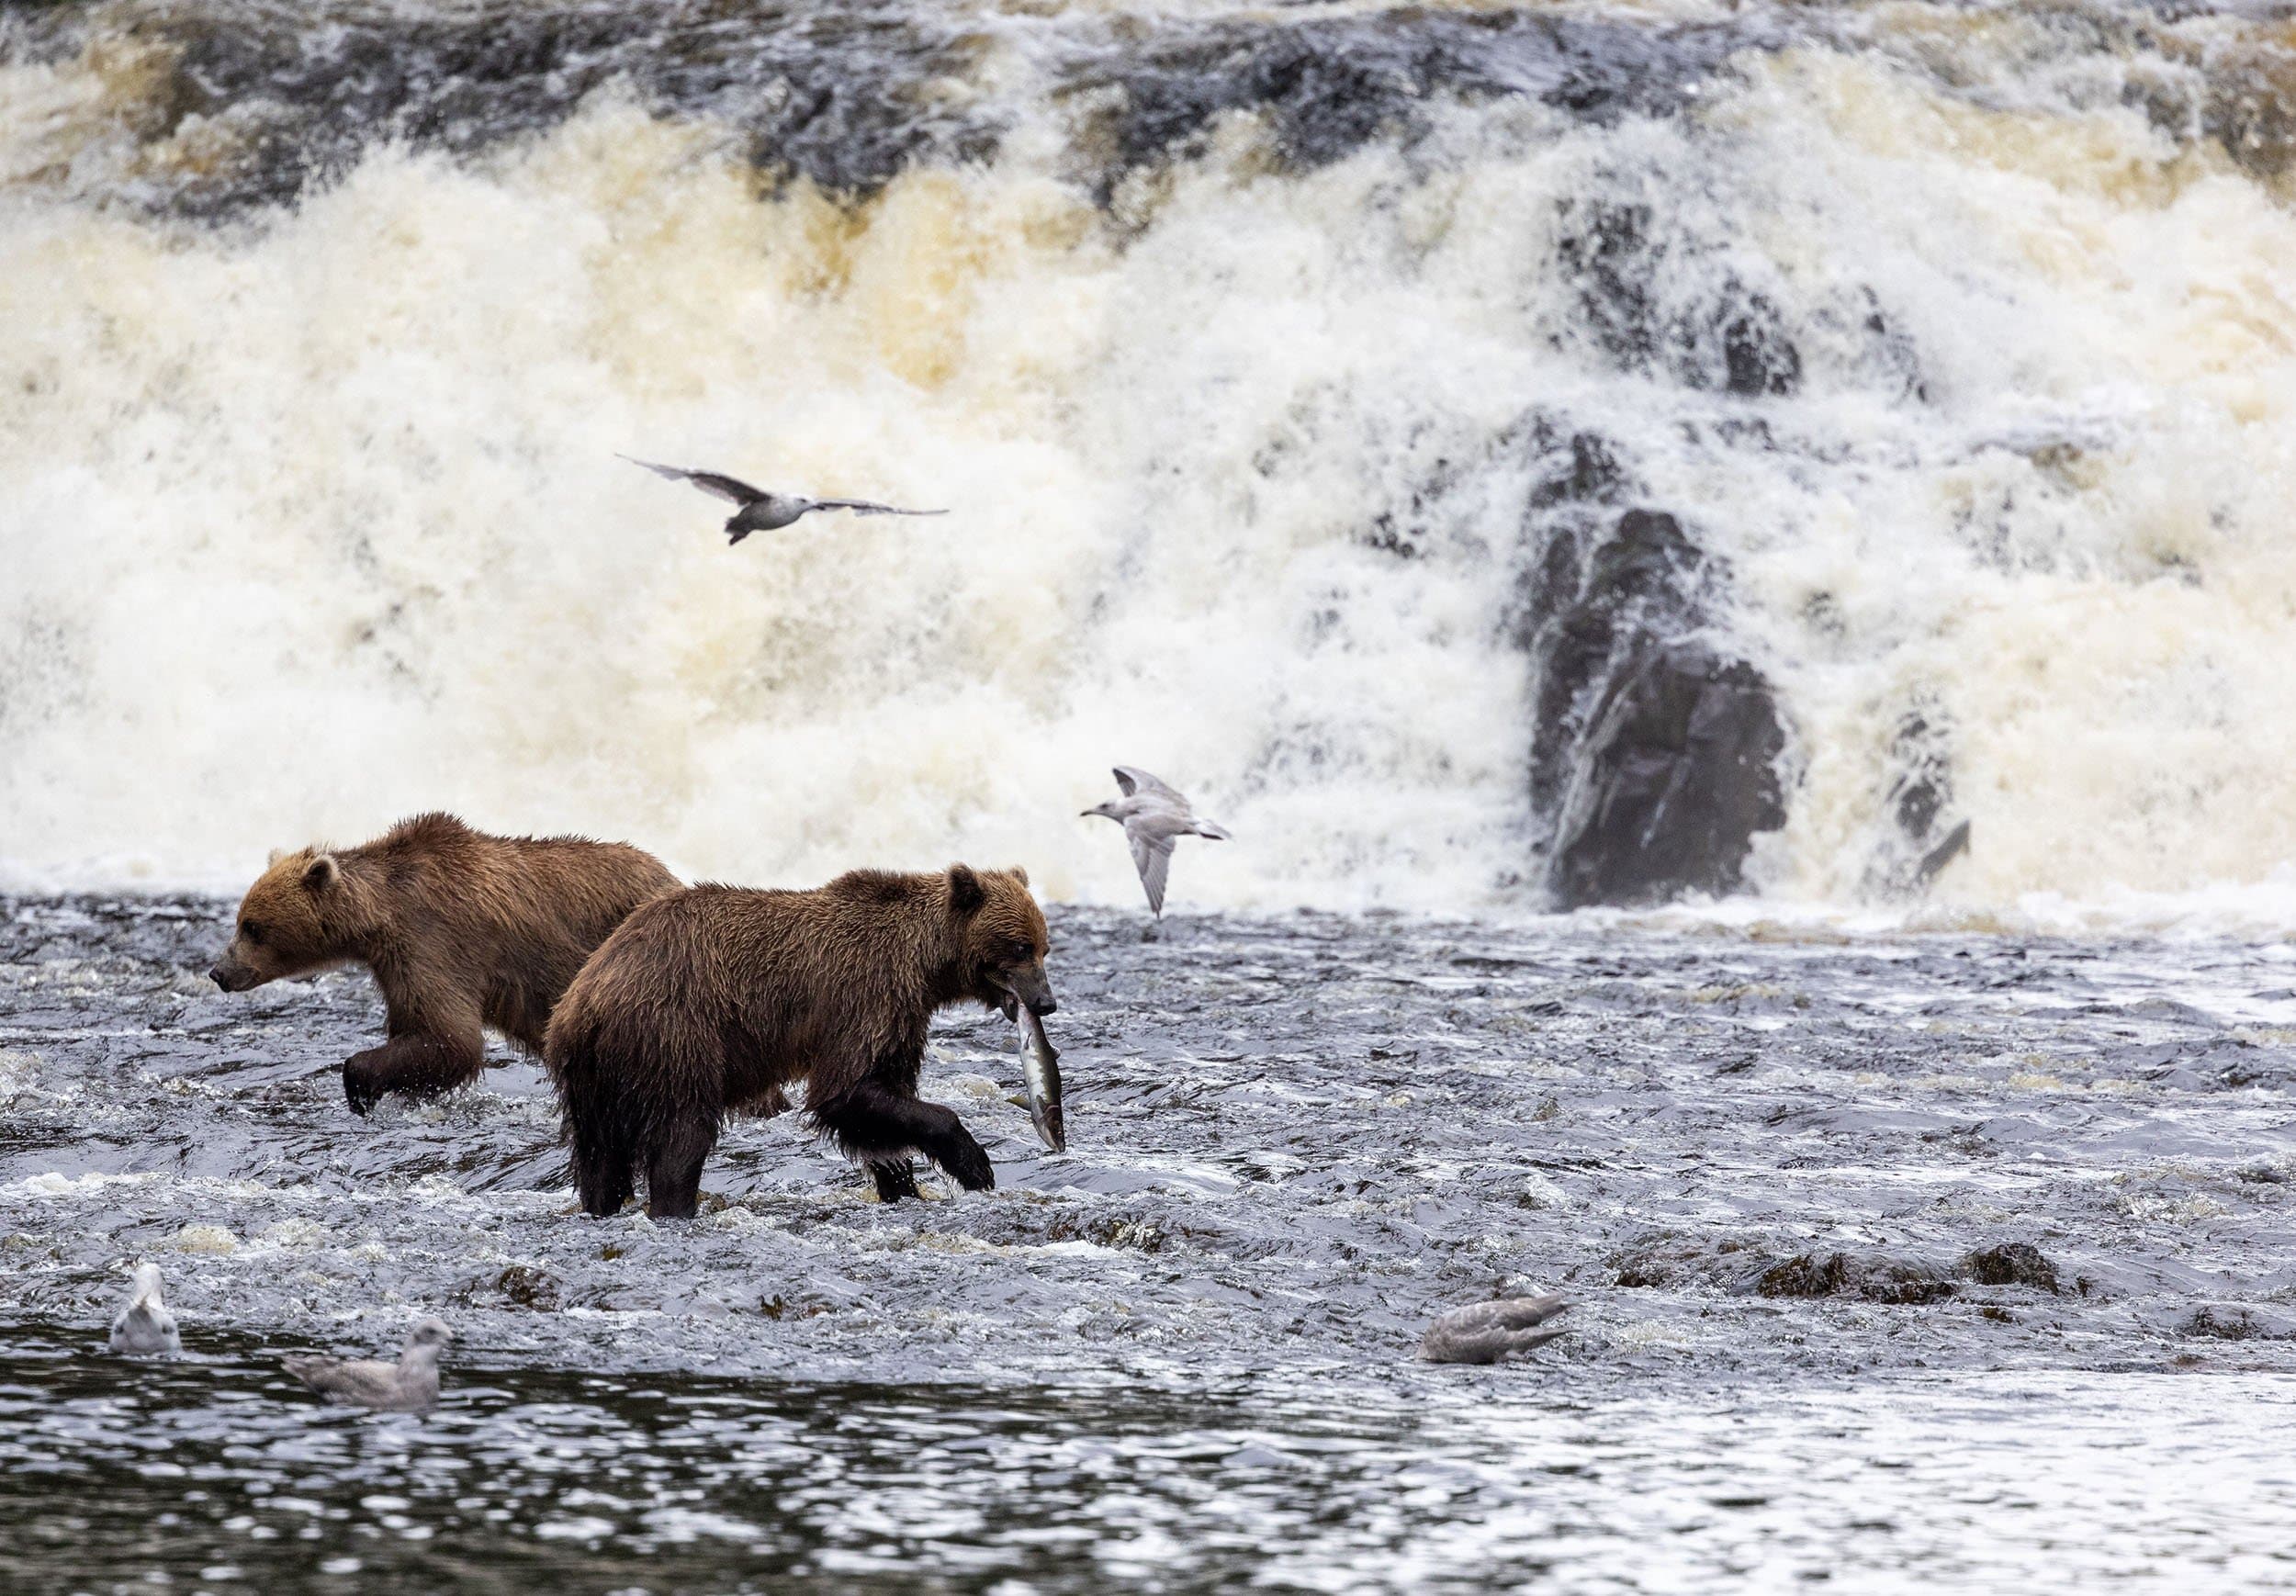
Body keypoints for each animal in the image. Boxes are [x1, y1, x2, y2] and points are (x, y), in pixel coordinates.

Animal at [209, 812, 681, 1115]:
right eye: (241, 921)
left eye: (252, 927)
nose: (219, 972)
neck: (379, 916)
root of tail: (671, 876)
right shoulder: (395, 965)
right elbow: (418, 1033)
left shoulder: (434, 943)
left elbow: (452, 1037)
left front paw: (359, 1084)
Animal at [544, 863, 1055, 1219]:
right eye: (1020, 946)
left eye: (1044, 945)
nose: (1046, 1001)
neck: (923, 966)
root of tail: (584, 999)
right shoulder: (863, 998)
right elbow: (845, 1092)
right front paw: (975, 1164)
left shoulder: (900, 1020)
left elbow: (884, 1106)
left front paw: (902, 1185)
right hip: (674, 1036)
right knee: (681, 1137)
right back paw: (676, 1207)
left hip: (594, 1075)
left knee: (599, 1157)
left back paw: (601, 1204)